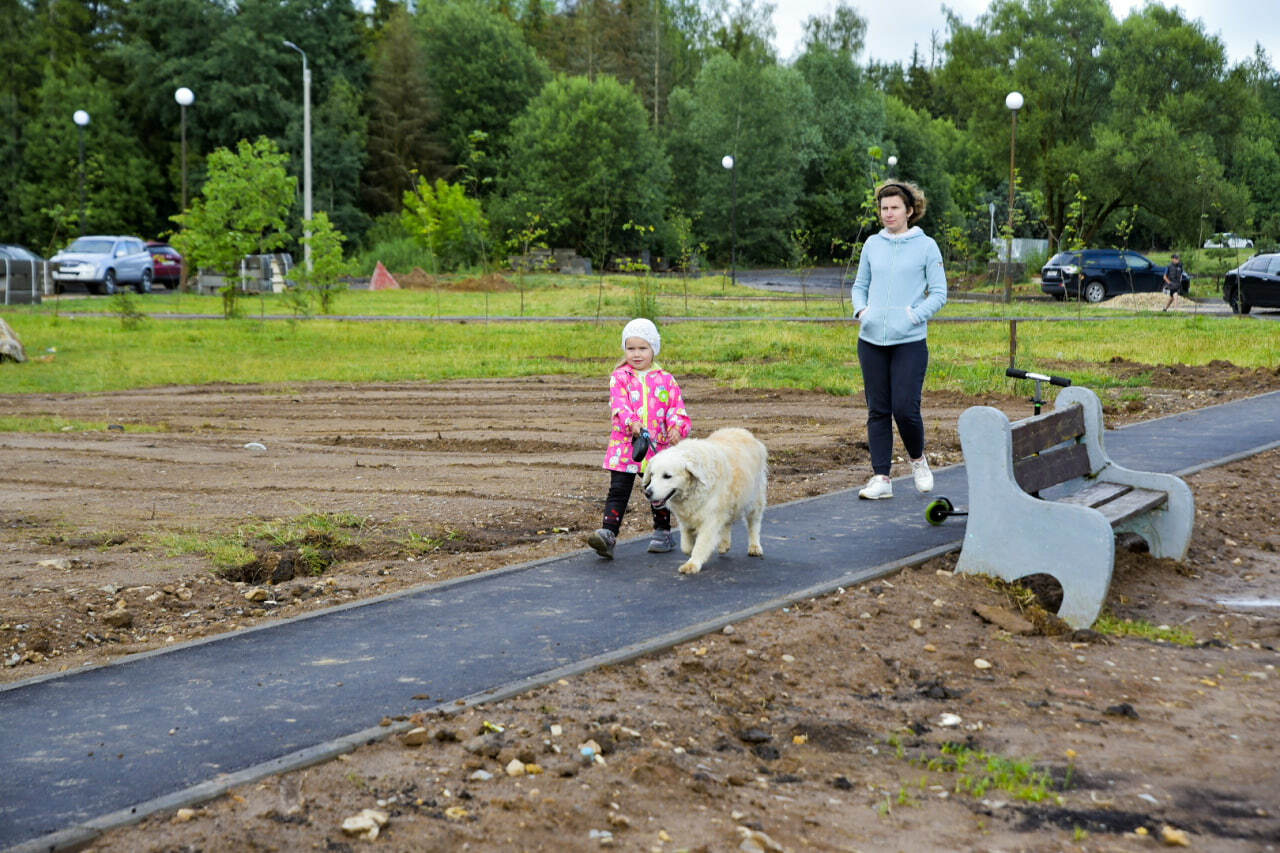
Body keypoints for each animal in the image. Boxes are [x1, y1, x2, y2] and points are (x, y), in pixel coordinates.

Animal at [640, 425, 768, 571]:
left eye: (667, 476)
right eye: (652, 474)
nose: (647, 493)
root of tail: (744, 432)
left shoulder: (710, 518)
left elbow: (701, 543)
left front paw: (692, 564)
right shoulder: (685, 517)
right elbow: (686, 544)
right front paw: (690, 549)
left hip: (754, 500)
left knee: (754, 523)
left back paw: (755, 546)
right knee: (727, 522)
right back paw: (724, 544)